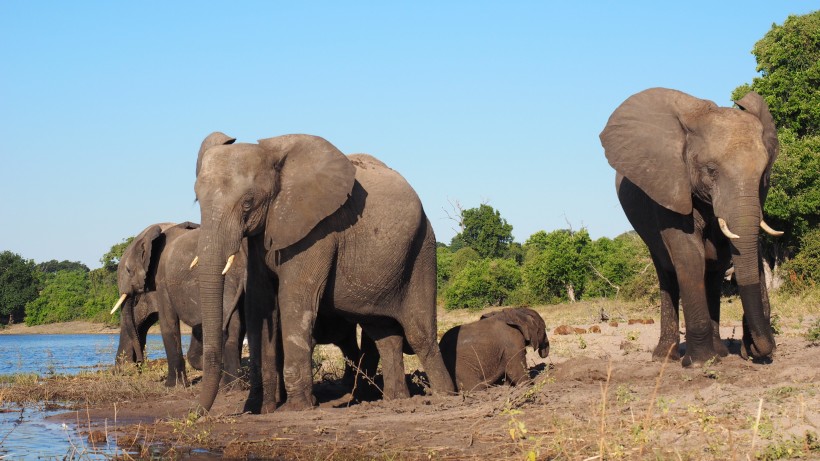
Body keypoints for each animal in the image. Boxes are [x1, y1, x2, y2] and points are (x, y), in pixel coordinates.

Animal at [113, 221, 247, 386]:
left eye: (128, 270)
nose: (139, 362)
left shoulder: (162, 278)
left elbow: (168, 322)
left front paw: (172, 386)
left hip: (226, 280)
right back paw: (232, 385)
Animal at [196, 131, 458, 412]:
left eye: (247, 203)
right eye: (197, 199)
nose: (197, 414)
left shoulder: (317, 231)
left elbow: (294, 302)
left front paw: (296, 409)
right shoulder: (259, 237)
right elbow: (259, 305)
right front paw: (260, 409)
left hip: (422, 249)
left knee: (420, 334)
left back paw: (445, 397)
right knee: (384, 334)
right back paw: (395, 400)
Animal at [604, 87, 780, 366]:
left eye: (764, 173)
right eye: (711, 170)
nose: (752, 348)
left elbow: (731, 252)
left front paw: (716, 356)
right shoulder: (670, 185)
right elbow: (689, 255)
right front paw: (700, 362)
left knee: (714, 271)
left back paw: (719, 351)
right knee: (667, 273)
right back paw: (666, 357)